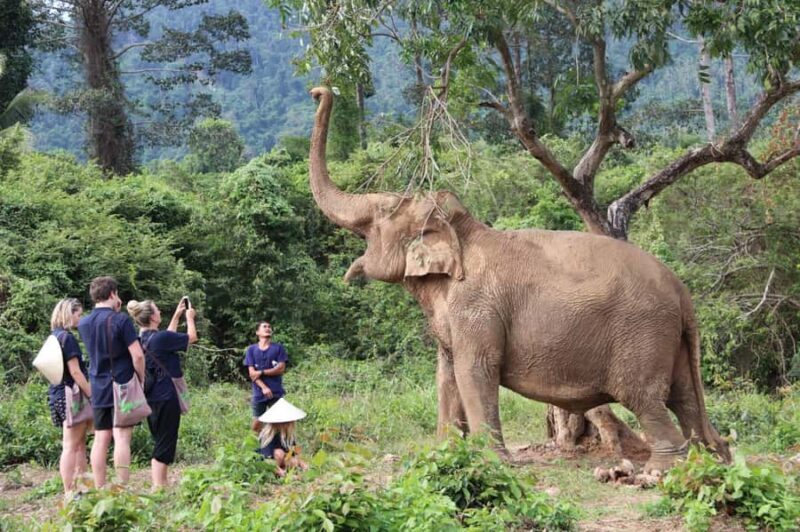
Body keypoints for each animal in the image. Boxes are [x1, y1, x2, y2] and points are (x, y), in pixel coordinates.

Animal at [308, 86, 730, 470]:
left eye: (380, 215)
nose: (319, 90)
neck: (463, 232)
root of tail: (683, 292)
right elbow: (446, 375)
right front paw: (442, 455)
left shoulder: (475, 309)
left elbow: (475, 372)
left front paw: (492, 462)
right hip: (670, 340)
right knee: (684, 398)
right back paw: (713, 459)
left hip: (642, 336)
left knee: (645, 399)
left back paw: (657, 472)